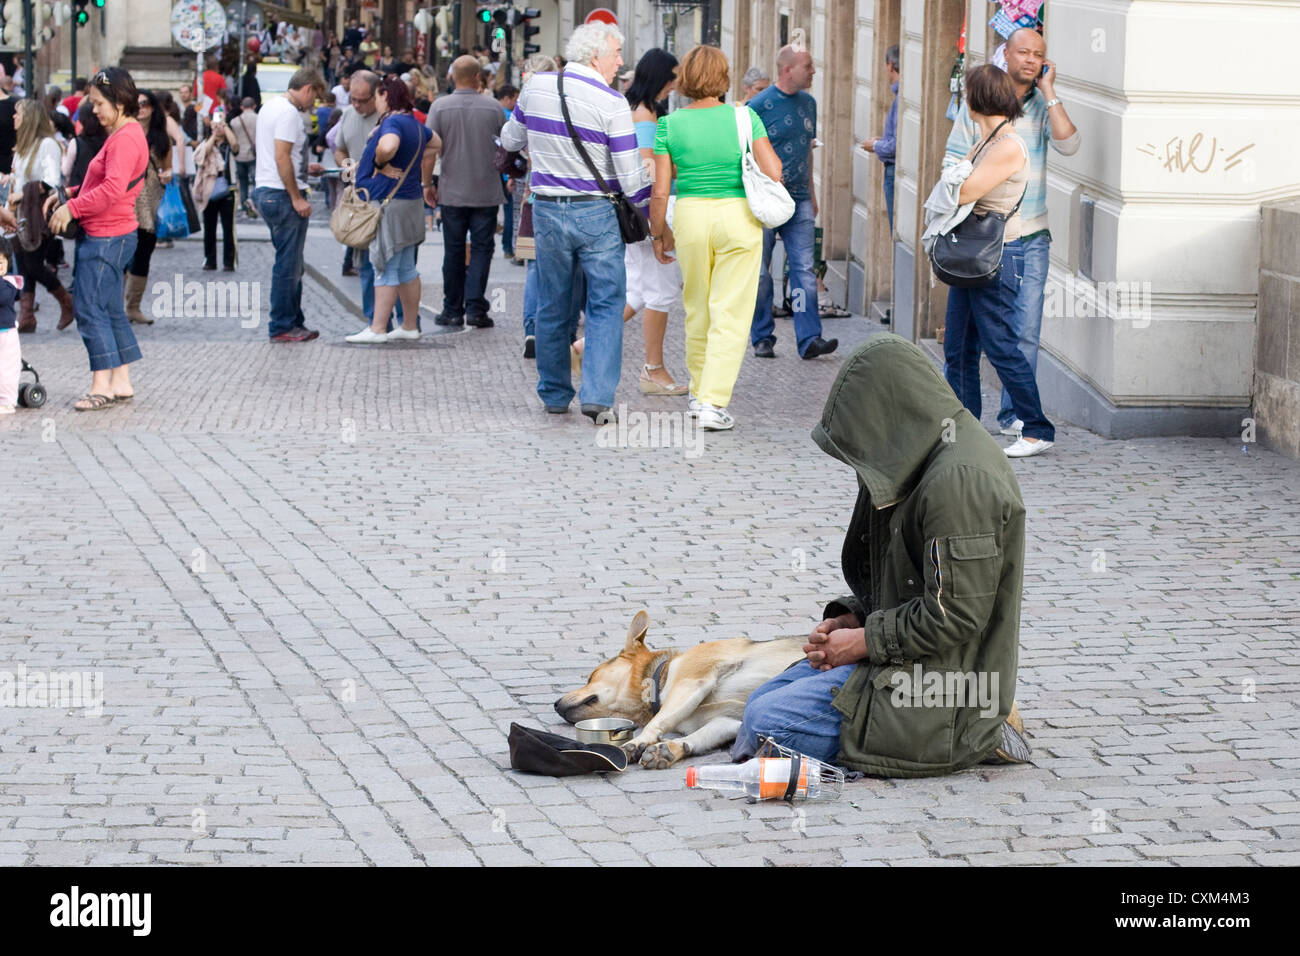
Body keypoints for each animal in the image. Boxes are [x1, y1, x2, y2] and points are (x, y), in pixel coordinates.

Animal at [551, 613, 800, 770]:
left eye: (591, 676)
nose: (555, 703)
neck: (661, 676)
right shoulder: (729, 721)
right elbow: (698, 736)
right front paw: (670, 749)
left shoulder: (692, 681)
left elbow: (657, 722)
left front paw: (638, 743)